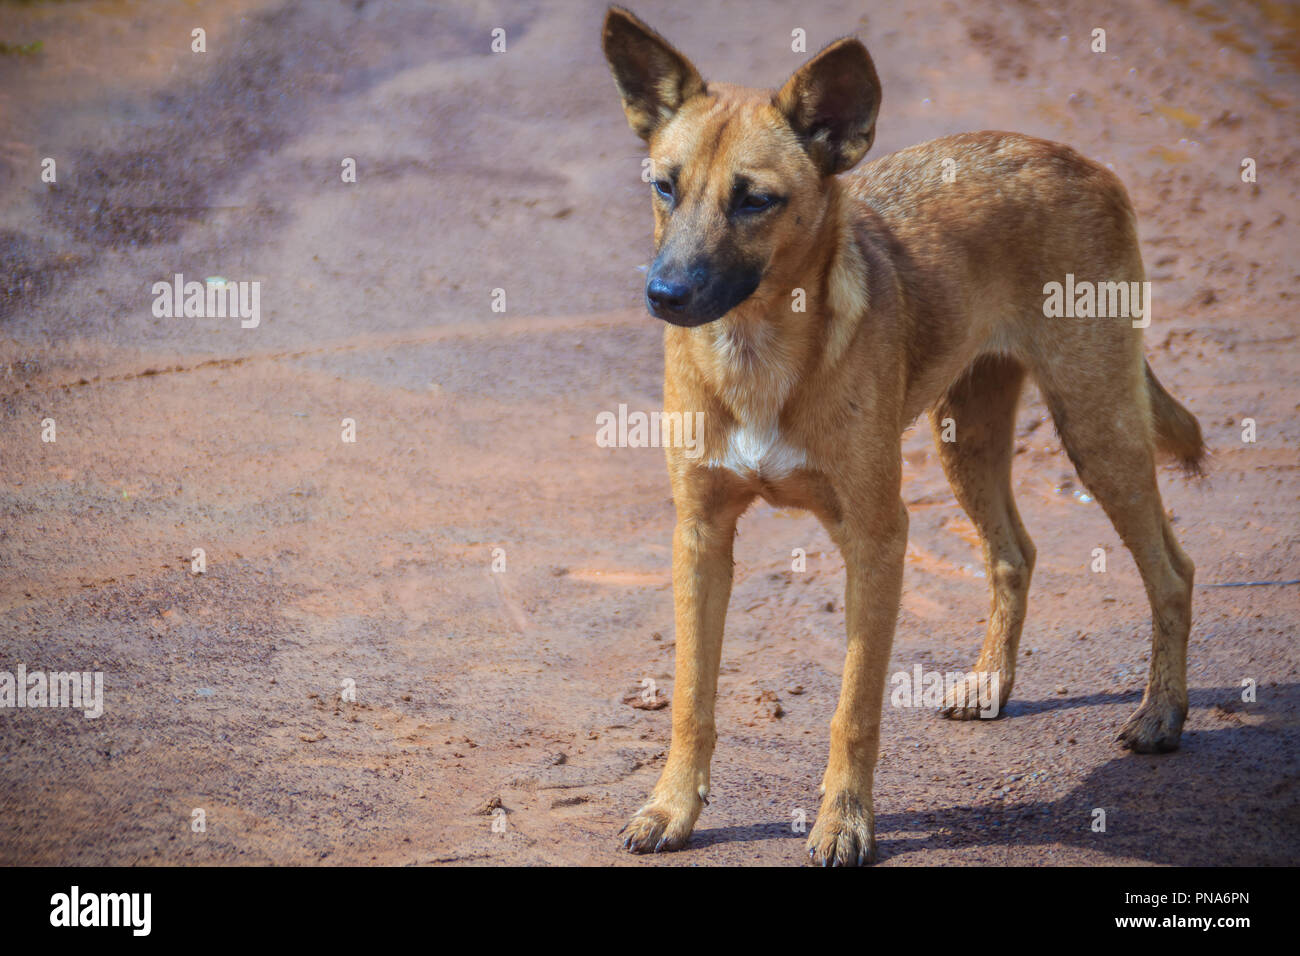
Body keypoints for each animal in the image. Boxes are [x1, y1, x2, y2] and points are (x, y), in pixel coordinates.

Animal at [603, 3, 1201, 863]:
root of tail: (1078, 160)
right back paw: (992, 683)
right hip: (967, 436)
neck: (758, 350)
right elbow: (691, 696)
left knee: (1173, 571)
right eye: (663, 187)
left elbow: (854, 709)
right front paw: (673, 807)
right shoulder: (700, 535)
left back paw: (1161, 713)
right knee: (1015, 554)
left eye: (755, 201)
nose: (665, 295)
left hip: (1098, 428)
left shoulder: (877, 537)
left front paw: (845, 822)